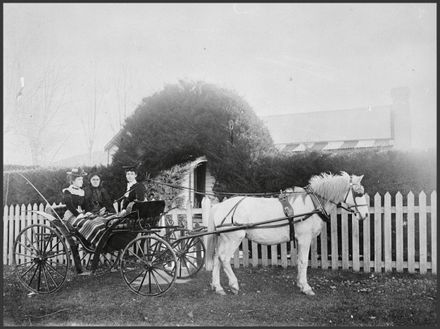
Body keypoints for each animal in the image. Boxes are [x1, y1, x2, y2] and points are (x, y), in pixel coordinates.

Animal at [206, 172, 368, 294]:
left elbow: (299, 260)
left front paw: (300, 283)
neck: (313, 204)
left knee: (216, 257)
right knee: (224, 258)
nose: (365, 215)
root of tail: (218, 206)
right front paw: (306, 287)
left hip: (224, 239)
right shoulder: (304, 239)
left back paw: (218, 287)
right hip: (234, 238)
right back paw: (234, 285)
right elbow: (303, 262)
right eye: (359, 193)